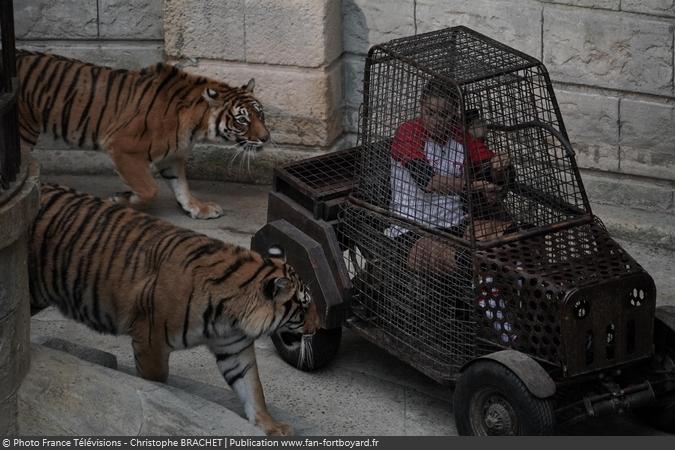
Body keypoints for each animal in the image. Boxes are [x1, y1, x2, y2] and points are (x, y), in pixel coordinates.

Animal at [16, 51, 270, 220]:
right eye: (242, 120)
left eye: (261, 114)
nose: (266, 138)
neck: (196, 126)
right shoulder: (123, 149)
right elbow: (149, 189)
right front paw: (122, 199)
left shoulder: (173, 157)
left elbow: (181, 186)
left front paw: (198, 208)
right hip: (24, 132)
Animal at [29, 183, 320, 436]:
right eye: (304, 306)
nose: (318, 328)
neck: (232, 315)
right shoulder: (150, 340)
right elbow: (156, 378)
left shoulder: (234, 348)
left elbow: (252, 387)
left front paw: (271, 425)